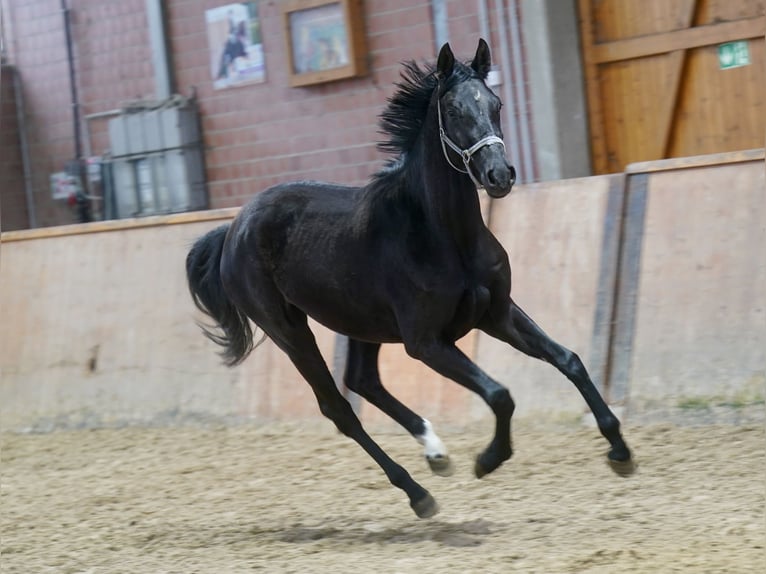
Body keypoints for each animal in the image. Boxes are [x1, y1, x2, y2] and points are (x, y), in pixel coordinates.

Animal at [188, 39, 636, 516]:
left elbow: (569, 359)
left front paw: (620, 451)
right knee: (338, 407)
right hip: (288, 330)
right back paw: (418, 493)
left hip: (359, 323)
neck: (445, 236)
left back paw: (435, 453)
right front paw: (488, 459)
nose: (499, 175)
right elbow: (500, 394)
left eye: (495, 104)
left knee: (363, 381)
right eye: (454, 110)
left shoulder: (496, 314)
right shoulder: (425, 343)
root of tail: (232, 230)